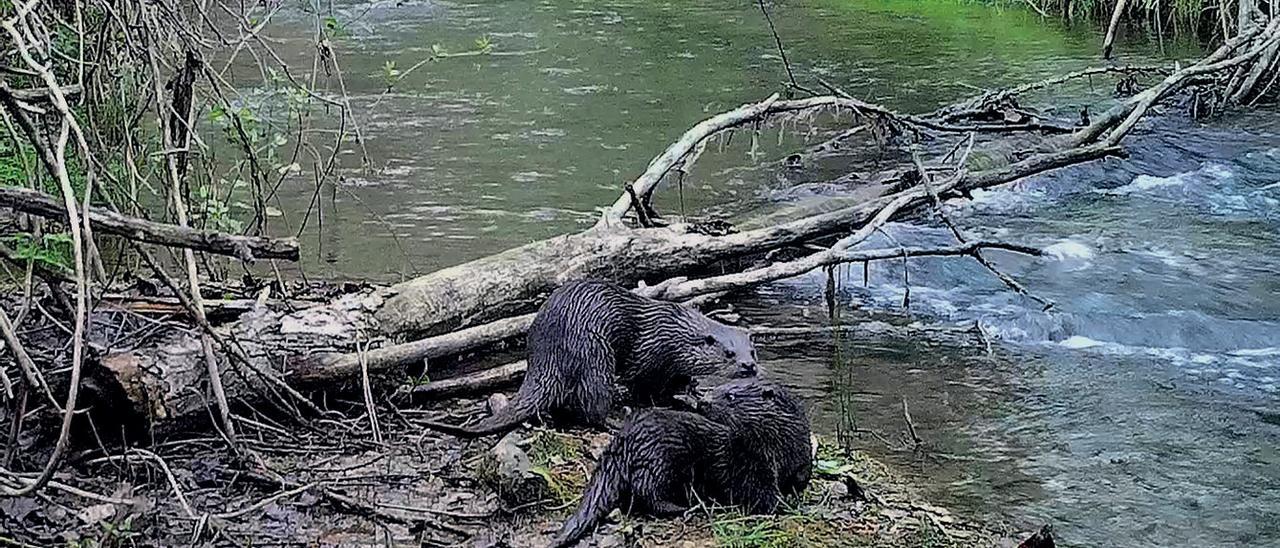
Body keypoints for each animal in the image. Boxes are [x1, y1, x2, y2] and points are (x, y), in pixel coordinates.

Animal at [424, 280, 752, 437]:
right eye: (729, 353)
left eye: (752, 351)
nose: (749, 366)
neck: (673, 333)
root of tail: (546, 355)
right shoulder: (648, 355)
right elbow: (641, 384)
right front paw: (662, 399)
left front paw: (690, 390)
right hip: (596, 354)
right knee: (594, 406)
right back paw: (617, 419)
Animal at [550, 378, 808, 545]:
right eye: (716, 389)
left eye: (730, 395)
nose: (703, 402)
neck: (780, 453)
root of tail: (624, 438)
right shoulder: (750, 465)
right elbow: (760, 494)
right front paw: (785, 507)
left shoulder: (801, 458)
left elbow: (801, 480)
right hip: (659, 459)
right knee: (646, 491)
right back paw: (681, 507)